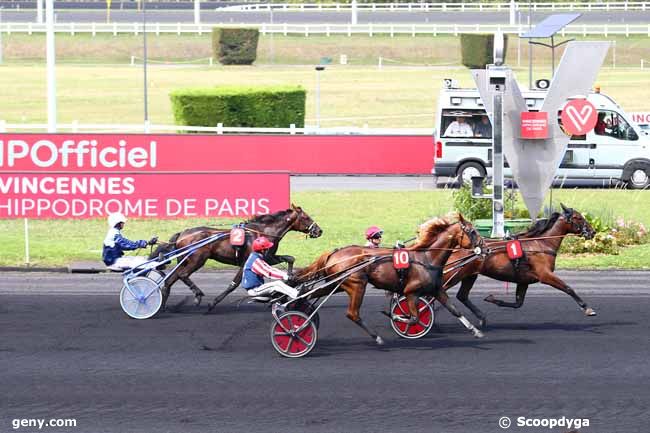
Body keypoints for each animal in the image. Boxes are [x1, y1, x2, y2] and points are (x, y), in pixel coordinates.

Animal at [153, 204, 324, 308]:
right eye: (306, 217)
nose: (319, 231)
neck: (264, 232)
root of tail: (183, 234)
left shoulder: (268, 257)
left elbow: (290, 258)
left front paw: (289, 278)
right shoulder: (247, 261)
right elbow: (234, 284)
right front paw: (213, 303)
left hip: (185, 260)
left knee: (170, 279)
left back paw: (163, 304)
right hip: (197, 259)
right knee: (182, 274)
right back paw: (198, 294)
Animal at [292, 214, 480, 346]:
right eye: (472, 231)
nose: (482, 245)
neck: (426, 258)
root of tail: (334, 253)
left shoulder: (436, 289)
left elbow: (454, 310)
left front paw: (476, 330)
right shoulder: (411, 292)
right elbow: (414, 318)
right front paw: (394, 317)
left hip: (338, 284)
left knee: (310, 294)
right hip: (356, 284)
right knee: (352, 314)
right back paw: (377, 338)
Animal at [442, 204, 596, 326]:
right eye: (578, 218)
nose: (592, 232)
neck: (541, 244)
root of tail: (453, 247)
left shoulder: (524, 281)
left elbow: (518, 303)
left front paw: (492, 299)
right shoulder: (545, 275)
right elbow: (568, 288)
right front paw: (587, 308)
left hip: (469, 275)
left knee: (462, 296)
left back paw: (481, 318)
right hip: (454, 274)